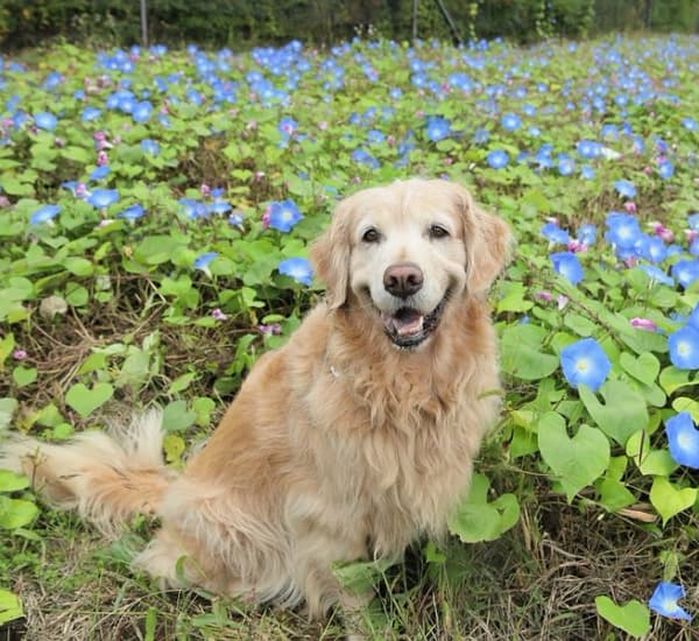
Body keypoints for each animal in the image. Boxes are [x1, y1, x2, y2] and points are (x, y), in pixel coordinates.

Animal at [1, 176, 516, 624]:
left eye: (438, 231)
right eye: (371, 236)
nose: (402, 279)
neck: (400, 385)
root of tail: (173, 489)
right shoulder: (332, 515)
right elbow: (354, 591)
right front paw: (367, 625)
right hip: (227, 524)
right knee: (171, 566)